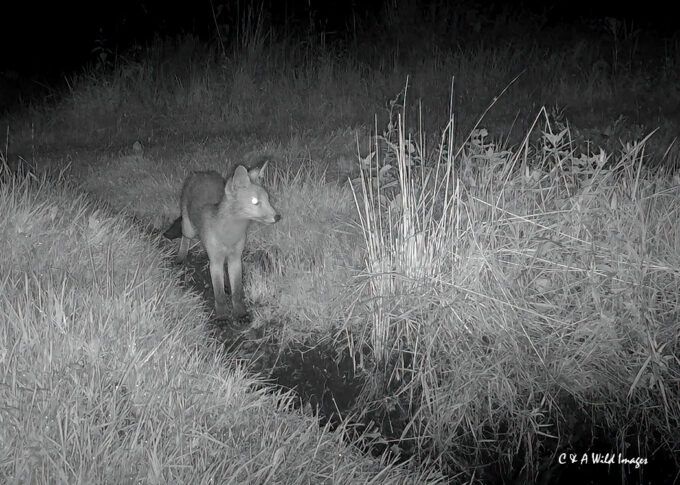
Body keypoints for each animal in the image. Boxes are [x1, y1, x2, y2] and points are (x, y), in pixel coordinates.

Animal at [164, 163, 281, 319]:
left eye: (268, 199)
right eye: (255, 202)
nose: (278, 217)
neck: (229, 234)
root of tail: (203, 172)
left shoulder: (235, 258)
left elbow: (237, 291)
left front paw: (240, 312)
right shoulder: (215, 260)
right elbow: (218, 294)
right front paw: (222, 315)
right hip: (189, 229)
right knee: (185, 237)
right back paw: (180, 256)